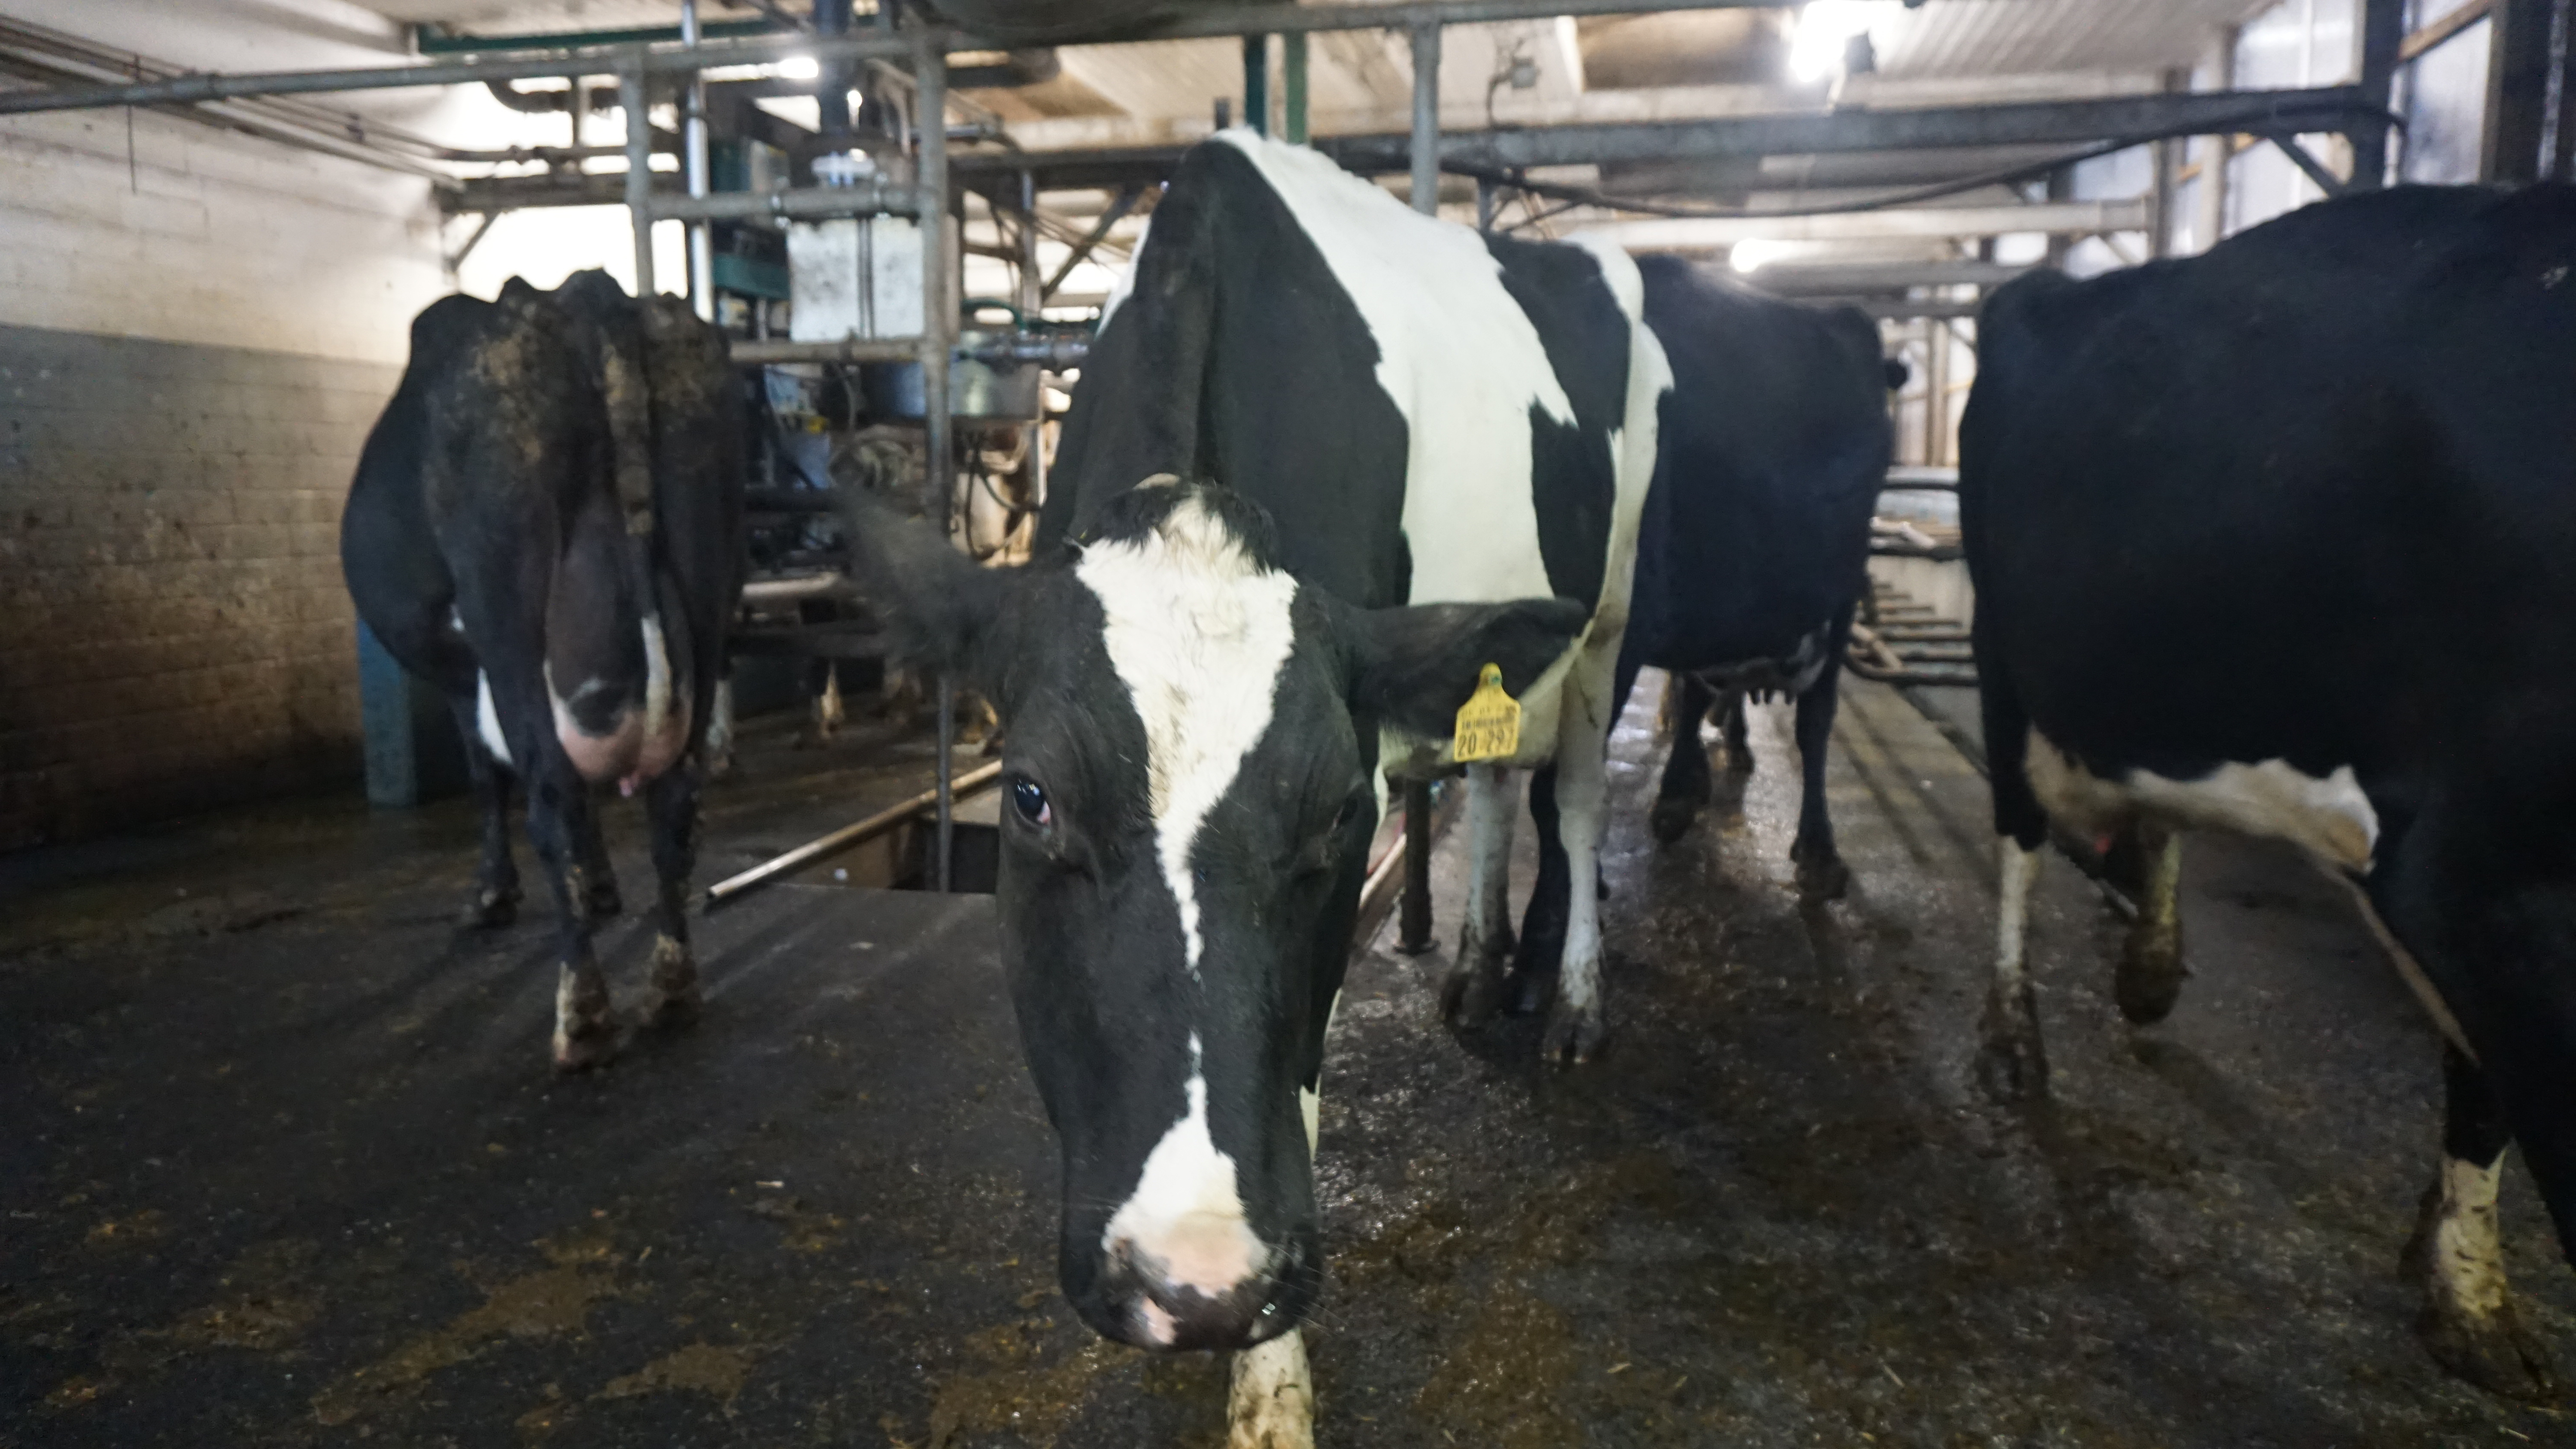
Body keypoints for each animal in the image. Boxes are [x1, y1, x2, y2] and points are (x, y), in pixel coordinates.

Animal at [340, 269, 745, 1072]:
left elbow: (486, 776)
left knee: (551, 793)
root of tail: (593, 294)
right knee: (674, 805)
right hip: (704, 572)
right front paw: (601, 888)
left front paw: (491, 896)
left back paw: (582, 1015)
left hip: (508, 612)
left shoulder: (464, 677)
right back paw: (670, 993)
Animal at [838, 129, 1666, 1449]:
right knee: (1492, 782)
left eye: (1343, 813)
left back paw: (1577, 1002)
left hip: (1611, 611)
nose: (1194, 1281)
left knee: (1578, 802)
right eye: (1029, 798)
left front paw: (1271, 1390)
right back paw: (1477, 966)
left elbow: (1304, 1088)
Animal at [1508, 261, 1892, 1011]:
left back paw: (1818, 851)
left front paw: (1541, 942)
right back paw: (1680, 793)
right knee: (1694, 691)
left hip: (1835, 594)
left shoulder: (1618, 638)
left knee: (1816, 722)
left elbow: (1553, 794)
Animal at [1960, 182, 2576, 1402]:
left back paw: (2150, 967)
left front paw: (2464, 1287)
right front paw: (2464, 1281)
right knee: (2018, 829)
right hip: (2008, 659)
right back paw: (2014, 1036)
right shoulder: (2492, 874)